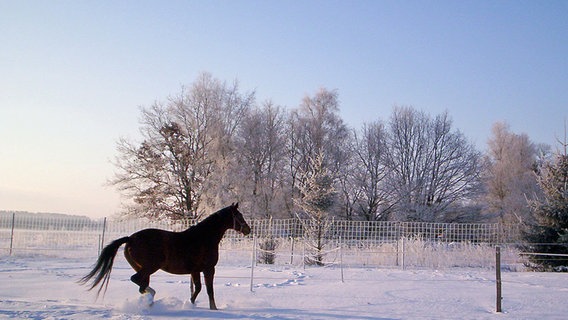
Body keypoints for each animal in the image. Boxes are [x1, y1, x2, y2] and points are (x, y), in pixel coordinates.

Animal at [80, 202, 251, 310]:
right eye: (239, 216)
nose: (248, 229)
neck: (203, 238)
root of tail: (130, 239)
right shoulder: (209, 269)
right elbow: (209, 290)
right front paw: (213, 309)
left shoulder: (195, 270)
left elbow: (197, 289)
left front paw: (190, 305)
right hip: (150, 267)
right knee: (137, 280)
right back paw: (150, 299)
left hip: (142, 268)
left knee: (141, 284)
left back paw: (149, 301)